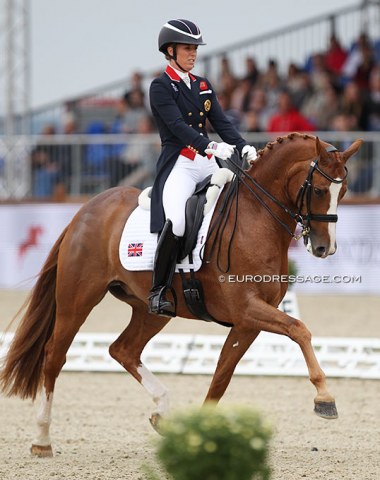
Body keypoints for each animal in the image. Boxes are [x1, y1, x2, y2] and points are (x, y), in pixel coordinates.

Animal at [0, 133, 362, 456]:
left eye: (343, 191)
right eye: (318, 190)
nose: (324, 248)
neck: (256, 218)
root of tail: (87, 209)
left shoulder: (248, 322)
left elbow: (222, 376)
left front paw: (199, 435)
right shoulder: (247, 309)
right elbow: (299, 330)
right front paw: (325, 398)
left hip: (151, 310)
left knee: (123, 350)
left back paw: (163, 412)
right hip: (77, 300)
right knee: (53, 357)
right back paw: (42, 440)